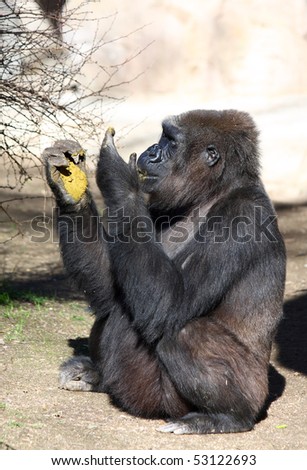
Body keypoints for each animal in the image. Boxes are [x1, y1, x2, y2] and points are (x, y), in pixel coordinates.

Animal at [44, 109, 288, 434]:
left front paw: (118, 176)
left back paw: (226, 416)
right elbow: (109, 288)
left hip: (231, 395)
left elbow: (172, 302)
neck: (211, 192)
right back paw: (94, 374)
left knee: (182, 333)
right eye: (161, 138)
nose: (151, 151)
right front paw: (70, 186)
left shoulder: (242, 218)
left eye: (170, 142)